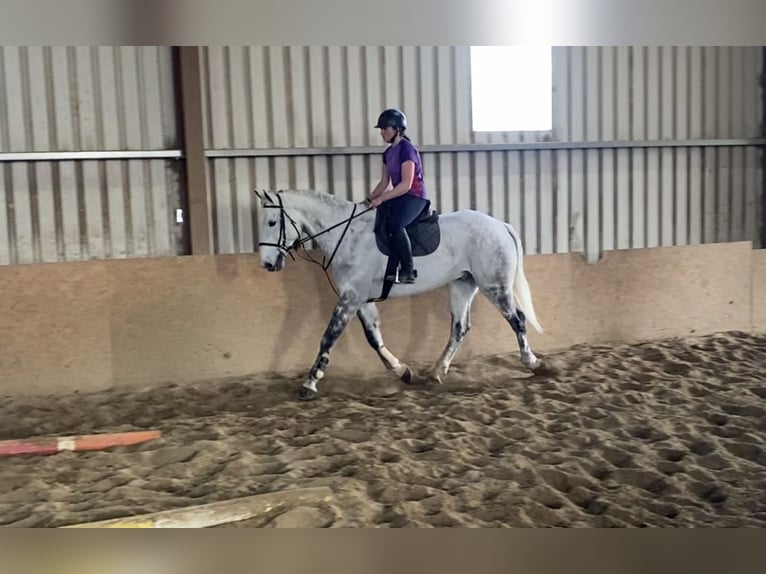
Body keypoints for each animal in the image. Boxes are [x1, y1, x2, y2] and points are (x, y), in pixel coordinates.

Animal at [255, 189, 548, 400]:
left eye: (272, 221)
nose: (267, 264)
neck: (347, 235)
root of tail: (500, 224)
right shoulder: (360, 299)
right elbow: (374, 339)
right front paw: (402, 371)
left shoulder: (351, 297)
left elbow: (329, 336)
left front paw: (309, 383)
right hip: (463, 284)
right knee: (460, 327)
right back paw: (436, 373)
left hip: (494, 286)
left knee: (517, 320)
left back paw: (533, 364)